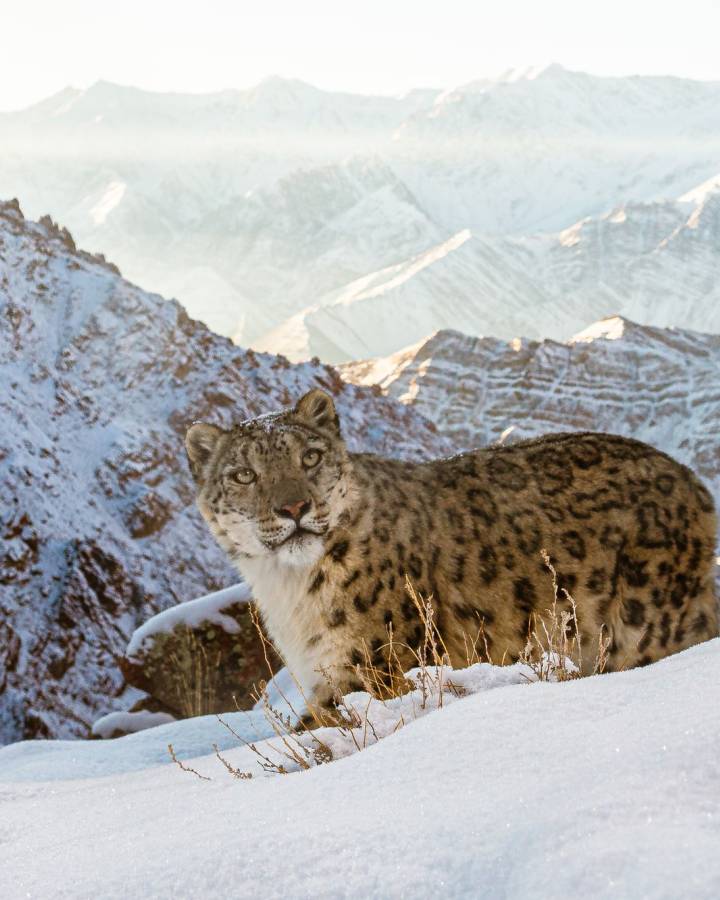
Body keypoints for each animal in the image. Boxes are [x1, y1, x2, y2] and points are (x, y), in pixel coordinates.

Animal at [186, 388, 718, 710]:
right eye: (244, 475)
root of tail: (691, 480)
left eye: (311, 457)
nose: (294, 506)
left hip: (647, 626)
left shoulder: (370, 667)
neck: (290, 590)